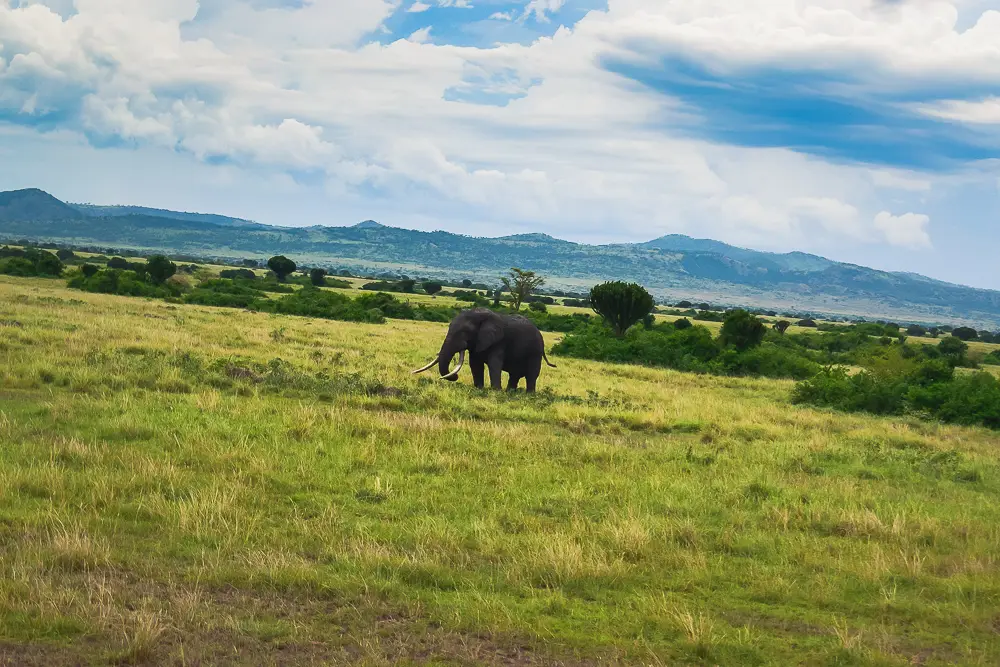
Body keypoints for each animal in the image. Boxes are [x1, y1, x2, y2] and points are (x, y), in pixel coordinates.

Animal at [412, 308, 556, 392]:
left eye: (464, 332)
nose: (456, 377)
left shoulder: (499, 341)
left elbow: (494, 364)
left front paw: (495, 391)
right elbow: (475, 364)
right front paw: (479, 388)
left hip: (536, 351)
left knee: (531, 375)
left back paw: (528, 394)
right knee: (514, 375)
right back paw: (510, 392)